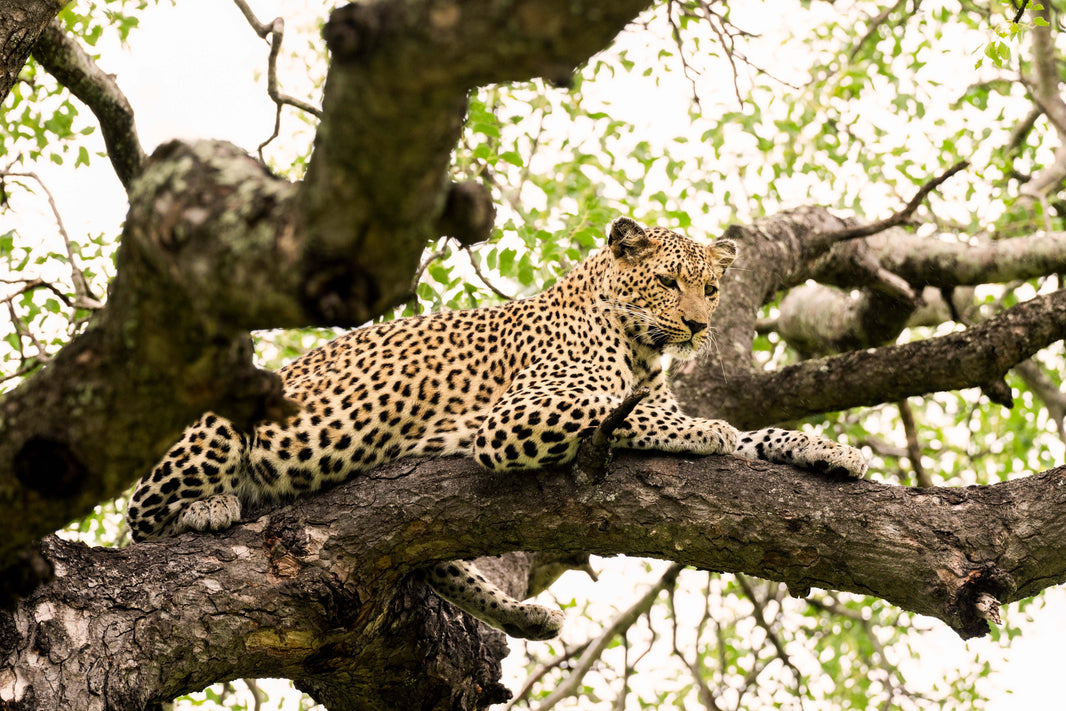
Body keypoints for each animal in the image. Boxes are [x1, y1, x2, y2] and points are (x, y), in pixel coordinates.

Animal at [126, 216, 867, 640]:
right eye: (666, 282)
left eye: (712, 290)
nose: (698, 326)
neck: (638, 344)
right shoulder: (513, 417)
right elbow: (633, 411)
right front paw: (706, 430)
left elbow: (752, 438)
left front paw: (827, 449)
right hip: (211, 425)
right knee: (139, 517)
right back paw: (209, 507)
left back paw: (527, 617)